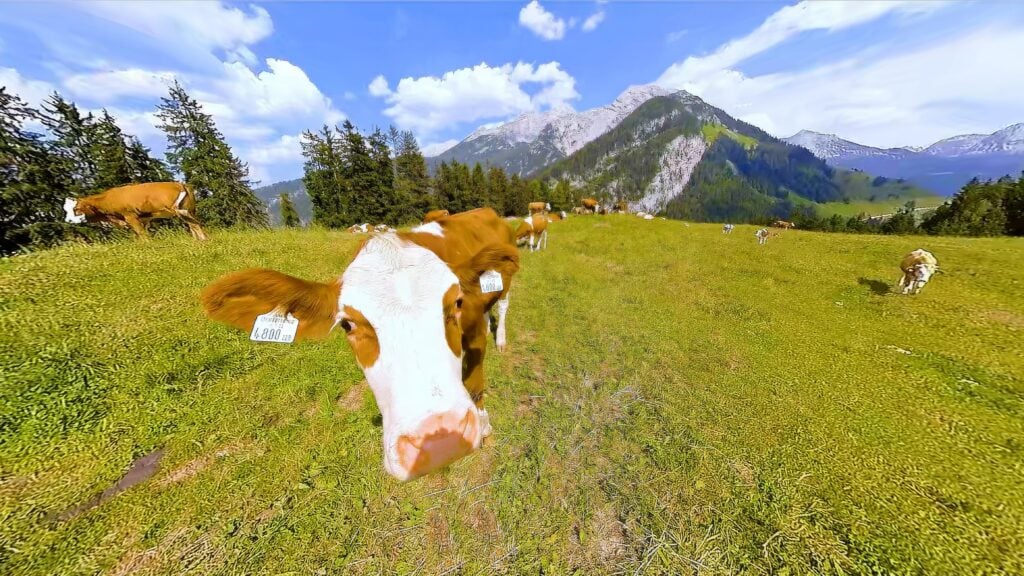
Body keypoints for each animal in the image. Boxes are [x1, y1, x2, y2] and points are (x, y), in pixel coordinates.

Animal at [63, 181, 207, 240]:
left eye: (76, 208)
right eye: (66, 210)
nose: (68, 220)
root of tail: (180, 183)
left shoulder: (130, 216)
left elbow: (142, 234)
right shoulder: (143, 218)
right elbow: (138, 235)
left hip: (179, 210)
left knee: (194, 224)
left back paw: (202, 241)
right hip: (188, 210)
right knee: (193, 225)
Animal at [201, 208, 520, 481]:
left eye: (457, 303)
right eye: (348, 324)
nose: (442, 442)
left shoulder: (474, 332)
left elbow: (476, 383)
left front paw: (485, 427)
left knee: (503, 306)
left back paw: (501, 339)